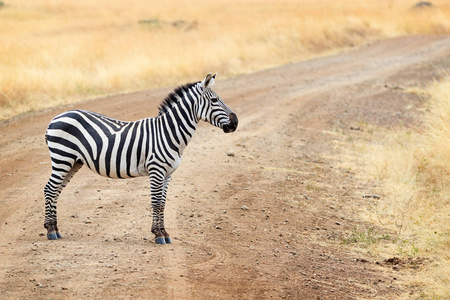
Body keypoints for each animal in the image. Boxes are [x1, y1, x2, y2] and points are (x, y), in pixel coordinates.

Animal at [43, 72, 237, 244]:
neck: (168, 132)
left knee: (56, 191)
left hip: (73, 162)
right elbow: (156, 202)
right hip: (62, 157)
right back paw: (51, 231)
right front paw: (158, 235)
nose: (235, 123)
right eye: (214, 100)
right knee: (49, 189)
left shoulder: (168, 174)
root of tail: (55, 118)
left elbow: (163, 203)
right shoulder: (156, 170)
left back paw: (55, 229)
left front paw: (164, 233)